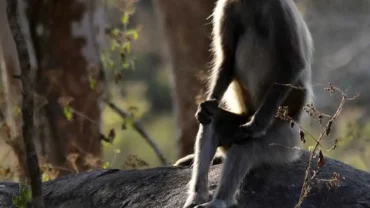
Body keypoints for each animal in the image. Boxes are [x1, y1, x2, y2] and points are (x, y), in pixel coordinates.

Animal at [175, 0, 314, 208]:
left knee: (247, 145)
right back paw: (197, 197)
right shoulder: (227, 7)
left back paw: (220, 201)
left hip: (284, 141)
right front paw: (207, 106)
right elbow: (227, 60)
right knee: (213, 121)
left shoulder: (279, 7)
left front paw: (255, 127)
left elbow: (293, 63)